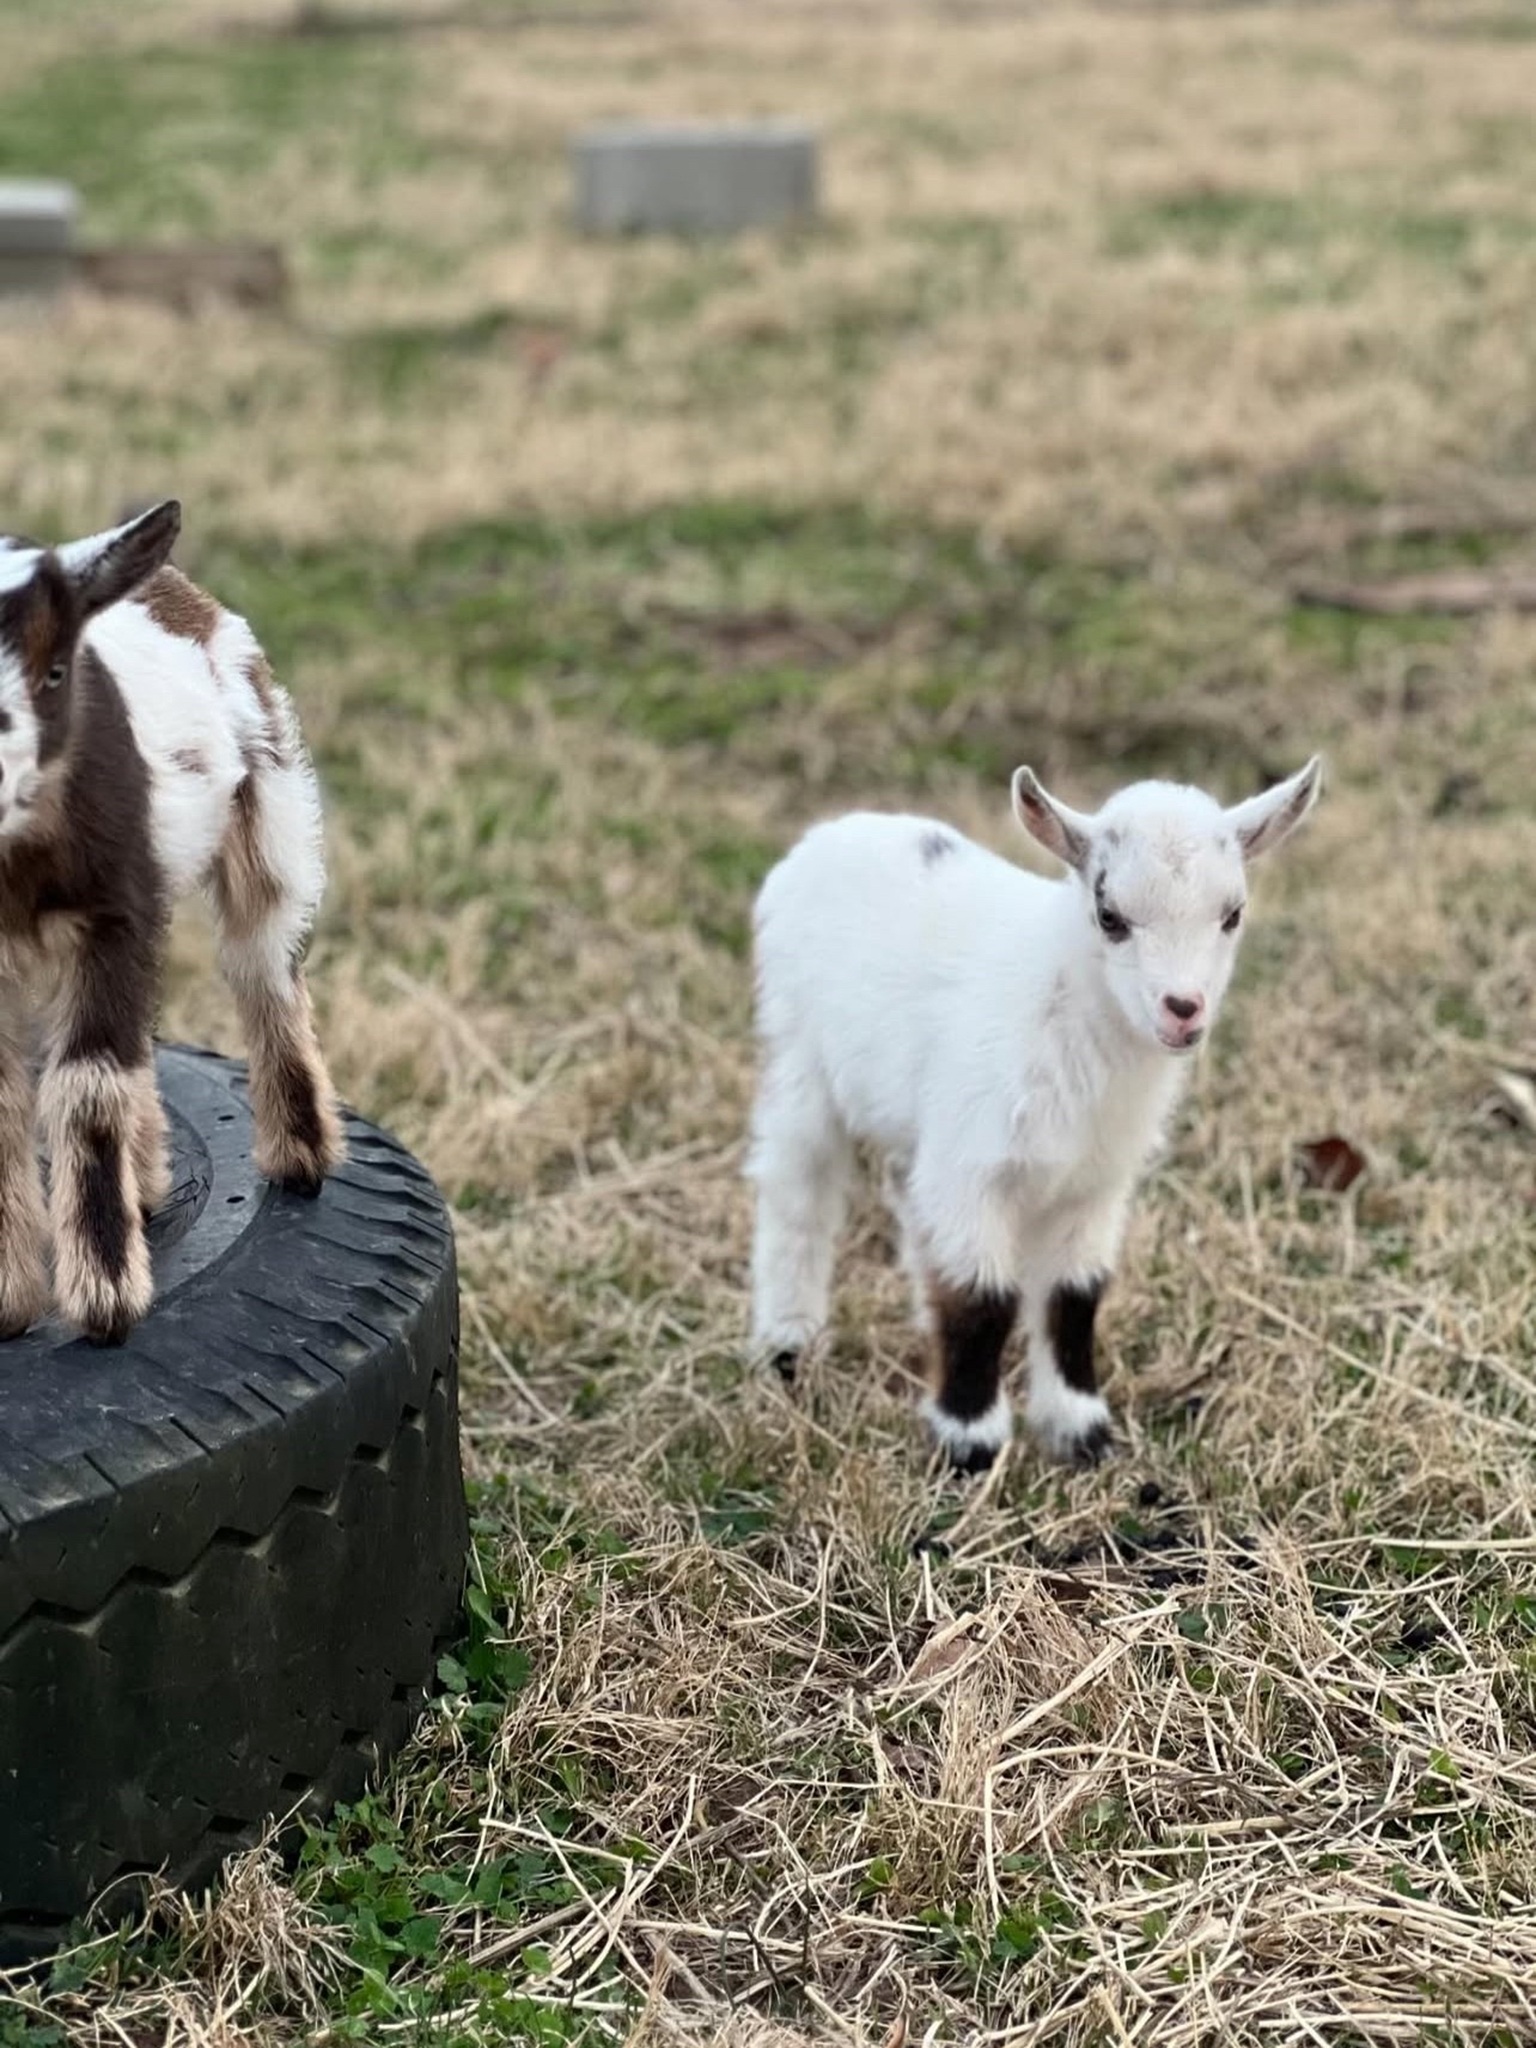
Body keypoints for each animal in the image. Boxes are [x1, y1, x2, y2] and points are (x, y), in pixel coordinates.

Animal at [0, 500, 344, 1344]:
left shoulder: (114, 915)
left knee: (264, 964)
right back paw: (151, 1182)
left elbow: (89, 1089)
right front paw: (11, 1303)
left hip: (270, 806)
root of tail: (179, 588)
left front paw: (106, 1299)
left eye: (55, 672)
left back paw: (302, 1159)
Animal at [746, 758, 1321, 1469]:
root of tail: (832, 833)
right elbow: (982, 1298)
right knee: (796, 1190)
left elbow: (1072, 1297)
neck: (1063, 1005)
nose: (1183, 1010)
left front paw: (1079, 1430)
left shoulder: (1093, 1184)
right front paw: (970, 1440)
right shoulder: (974, 1167)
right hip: (799, 1054)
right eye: (1109, 915)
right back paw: (787, 1345)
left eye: (1233, 914)